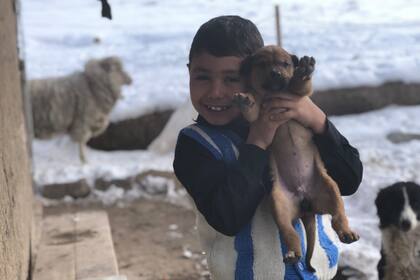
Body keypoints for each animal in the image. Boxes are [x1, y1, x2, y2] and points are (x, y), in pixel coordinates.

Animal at [233, 44, 358, 270]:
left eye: (285, 64)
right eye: (262, 64)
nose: (276, 73)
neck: (273, 93)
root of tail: (305, 205)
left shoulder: (301, 96)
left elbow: (300, 86)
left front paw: (303, 71)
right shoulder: (257, 116)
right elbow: (252, 111)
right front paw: (246, 101)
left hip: (331, 189)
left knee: (338, 216)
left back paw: (346, 232)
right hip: (279, 204)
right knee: (290, 233)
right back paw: (293, 253)